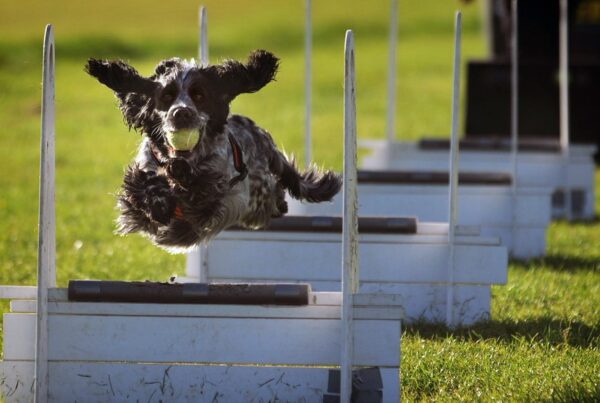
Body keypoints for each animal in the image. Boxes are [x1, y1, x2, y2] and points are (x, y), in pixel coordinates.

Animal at [85, 50, 342, 252]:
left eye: (199, 95)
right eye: (166, 96)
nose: (181, 113)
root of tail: (263, 138)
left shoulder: (220, 194)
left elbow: (203, 191)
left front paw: (181, 179)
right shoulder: (142, 180)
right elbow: (141, 186)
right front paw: (159, 199)